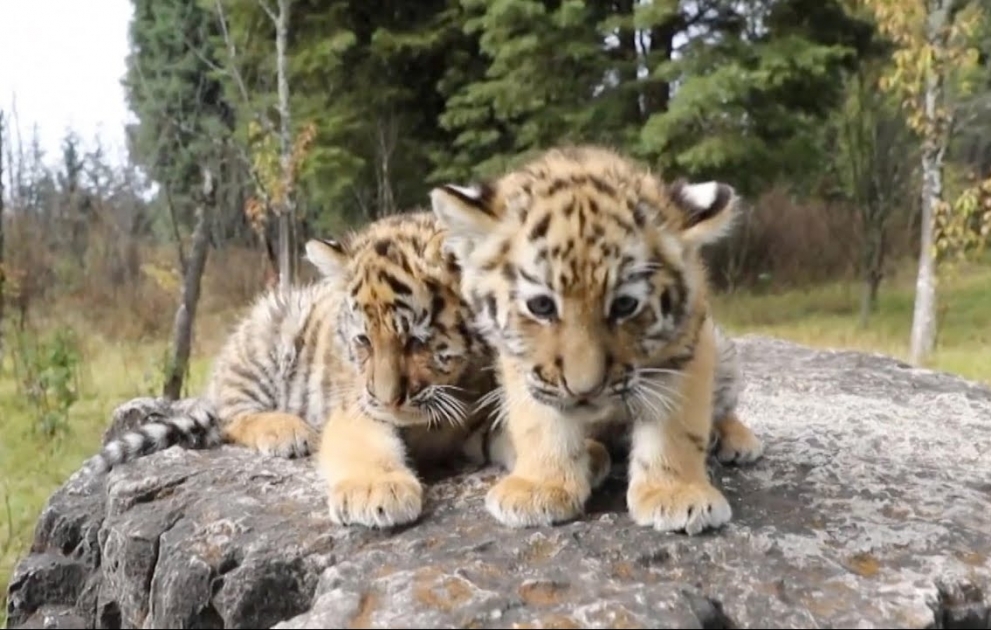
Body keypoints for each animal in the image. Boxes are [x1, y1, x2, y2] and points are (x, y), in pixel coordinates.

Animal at [85, 211, 502, 529]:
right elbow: (365, 445)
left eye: (416, 340)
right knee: (232, 418)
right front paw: (376, 491)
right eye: (363, 340)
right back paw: (287, 430)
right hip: (269, 334)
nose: (388, 401)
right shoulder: (357, 409)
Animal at [428, 145, 764, 536]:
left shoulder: (683, 346)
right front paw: (540, 488)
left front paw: (677, 494)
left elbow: (675, 425)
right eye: (541, 305)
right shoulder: (525, 365)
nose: (584, 390)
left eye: (624, 305)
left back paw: (737, 440)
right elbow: (541, 420)